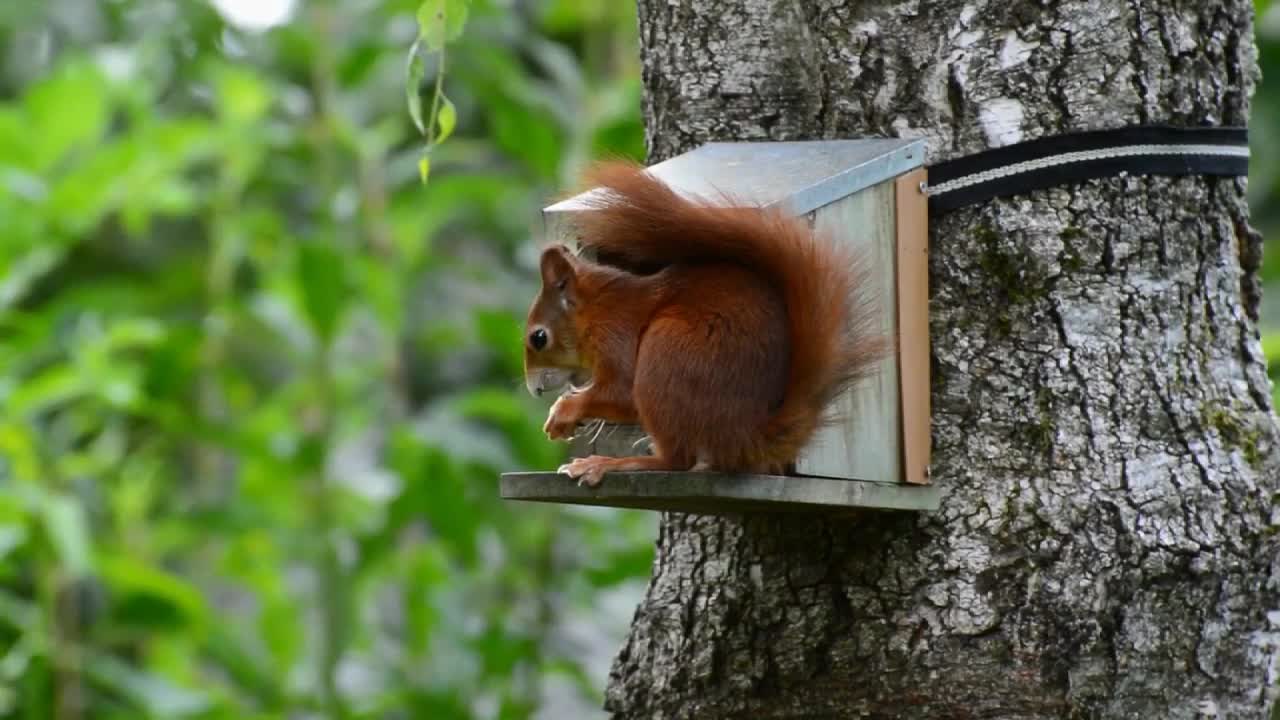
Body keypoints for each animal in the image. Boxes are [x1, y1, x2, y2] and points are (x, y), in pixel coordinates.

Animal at [519, 159, 890, 484]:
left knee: (676, 461)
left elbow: (622, 391)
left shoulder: (615, 332)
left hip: (666, 353)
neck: (596, 309)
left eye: (539, 337)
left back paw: (611, 463)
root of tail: (746, 437)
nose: (534, 390)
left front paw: (566, 409)